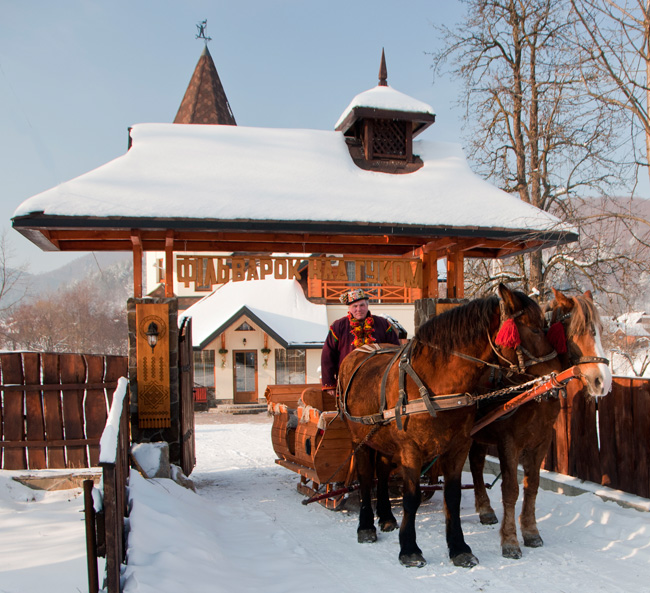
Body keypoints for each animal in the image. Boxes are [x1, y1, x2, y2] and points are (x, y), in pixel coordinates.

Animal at [336, 284, 560, 568]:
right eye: (535, 329)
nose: (557, 370)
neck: (436, 385)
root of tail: (360, 351)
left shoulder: (458, 447)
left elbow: (452, 497)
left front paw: (459, 548)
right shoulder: (411, 451)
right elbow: (411, 498)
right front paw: (409, 548)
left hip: (385, 441)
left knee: (383, 473)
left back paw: (386, 516)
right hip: (360, 439)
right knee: (366, 478)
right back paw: (366, 525)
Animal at [468, 290, 612, 556]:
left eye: (600, 329)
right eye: (577, 331)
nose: (602, 381)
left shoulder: (541, 440)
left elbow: (532, 485)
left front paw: (531, 531)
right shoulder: (508, 442)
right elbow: (511, 489)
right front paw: (510, 540)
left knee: (476, 463)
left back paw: (485, 509)